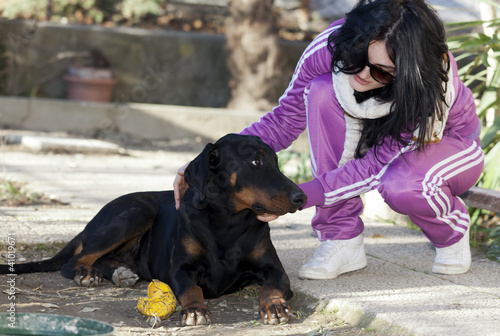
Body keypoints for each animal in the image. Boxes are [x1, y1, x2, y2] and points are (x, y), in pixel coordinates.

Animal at [0, 134, 306, 326]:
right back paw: (87, 274)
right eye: (255, 161)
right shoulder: (181, 269)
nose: (301, 197)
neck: (228, 222)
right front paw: (194, 310)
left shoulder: (274, 270)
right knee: (75, 260)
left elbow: (270, 286)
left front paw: (275, 306)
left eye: (277, 161)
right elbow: (191, 288)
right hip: (138, 211)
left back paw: (119, 272)